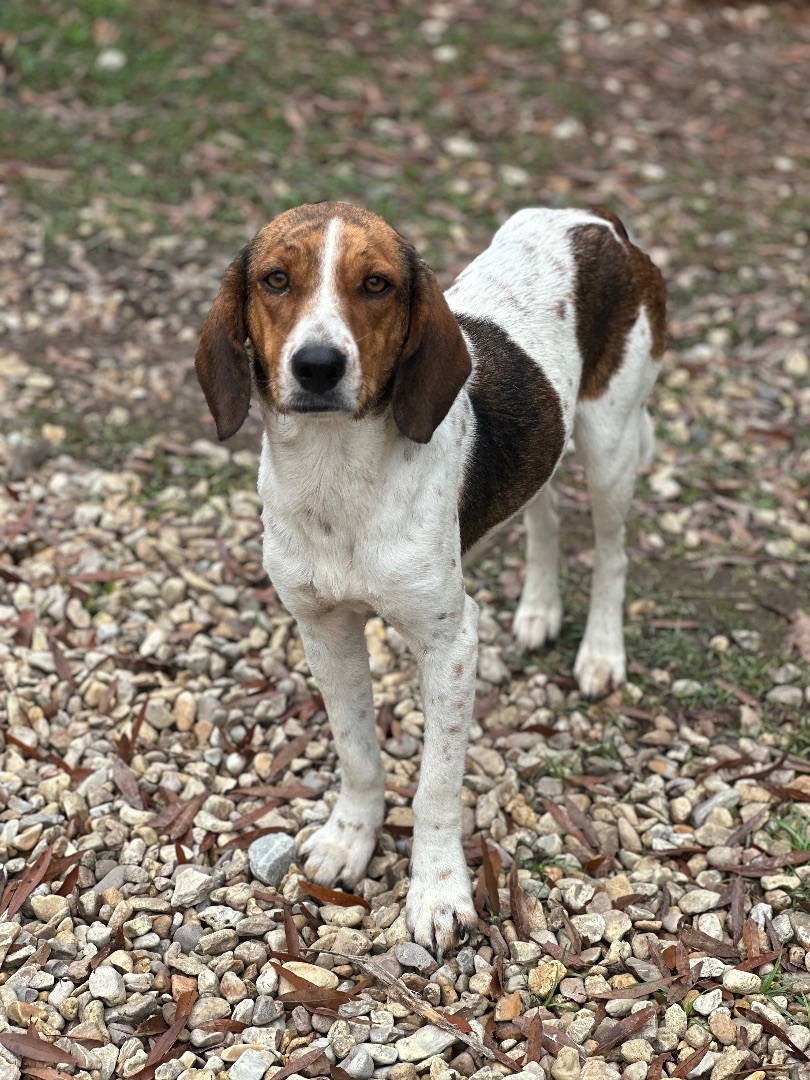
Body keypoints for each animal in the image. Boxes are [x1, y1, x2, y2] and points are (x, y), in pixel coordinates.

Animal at [195, 200, 665, 946]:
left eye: (377, 284)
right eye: (275, 279)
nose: (318, 365)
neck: (338, 480)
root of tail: (596, 221)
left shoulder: (449, 642)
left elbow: (436, 785)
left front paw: (439, 895)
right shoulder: (323, 630)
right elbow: (358, 752)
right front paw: (349, 841)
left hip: (610, 445)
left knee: (612, 551)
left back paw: (600, 653)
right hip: (549, 442)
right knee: (543, 516)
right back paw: (538, 611)